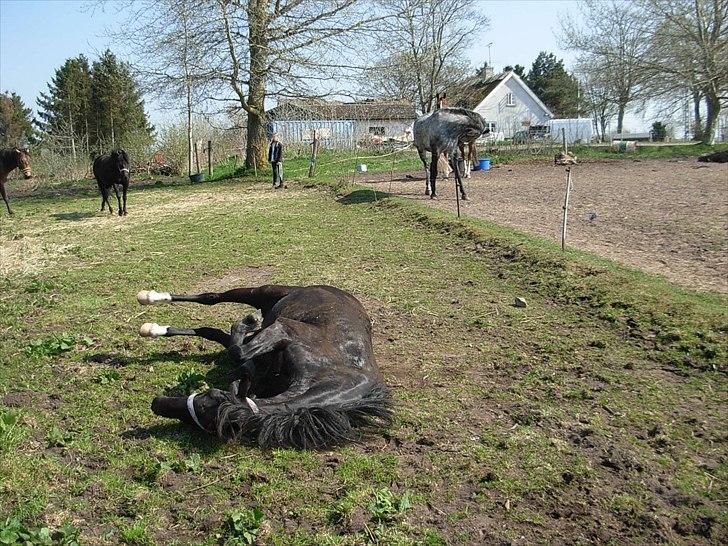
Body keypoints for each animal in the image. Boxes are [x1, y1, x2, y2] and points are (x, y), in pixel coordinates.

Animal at [139, 284, 396, 446]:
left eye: (204, 403)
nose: (156, 404)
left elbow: (239, 356)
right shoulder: (283, 329)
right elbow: (239, 351)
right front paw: (247, 322)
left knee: (212, 332)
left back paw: (156, 328)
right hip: (263, 292)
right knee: (211, 297)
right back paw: (151, 299)